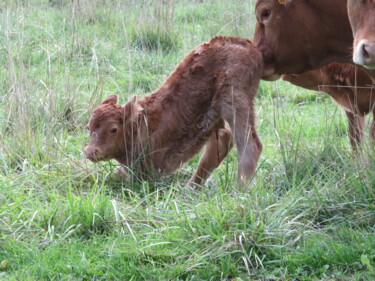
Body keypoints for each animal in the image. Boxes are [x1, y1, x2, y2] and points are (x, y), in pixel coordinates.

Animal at [84, 36, 264, 186]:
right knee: (222, 142)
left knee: (249, 145)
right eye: (89, 127)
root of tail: (248, 46)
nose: (90, 152)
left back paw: (239, 191)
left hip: (234, 102)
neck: (141, 123)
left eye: (113, 129)